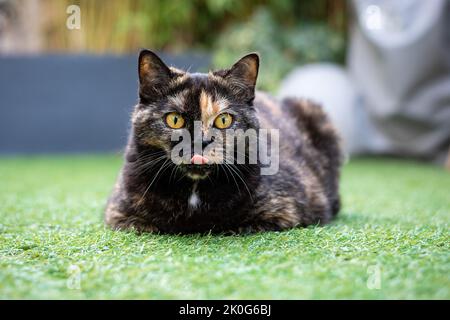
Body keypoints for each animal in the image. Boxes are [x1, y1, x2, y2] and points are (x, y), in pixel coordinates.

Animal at [104, 49, 342, 232]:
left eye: (223, 119)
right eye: (174, 119)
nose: (200, 142)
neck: (194, 191)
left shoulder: (286, 209)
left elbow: (238, 225)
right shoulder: (118, 213)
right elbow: (143, 226)